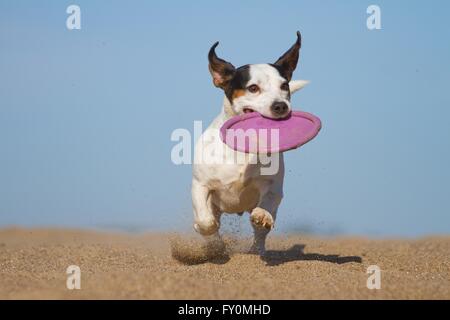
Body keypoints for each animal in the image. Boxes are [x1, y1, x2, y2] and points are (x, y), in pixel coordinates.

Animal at [192, 31, 308, 255]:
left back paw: (256, 249)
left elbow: (266, 207)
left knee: (260, 234)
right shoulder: (200, 184)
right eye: (253, 88)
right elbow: (205, 221)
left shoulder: (273, 188)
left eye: (284, 86)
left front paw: (261, 215)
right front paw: (207, 232)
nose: (281, 106)